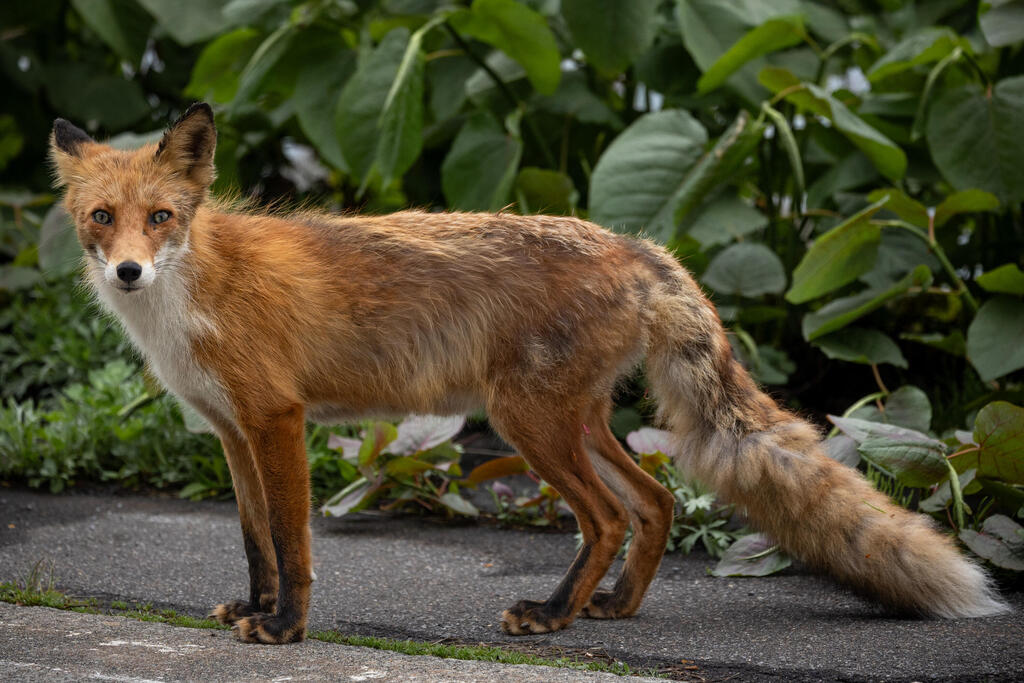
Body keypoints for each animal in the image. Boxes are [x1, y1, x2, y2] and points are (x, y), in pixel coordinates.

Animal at [48, 103, 1008, 644]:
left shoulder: (277, 419)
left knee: (608, 516)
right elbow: (255, 540)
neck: (192, 291)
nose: (127, 272)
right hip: (577, 421)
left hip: (527, 423)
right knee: (655, 502)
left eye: (160, 218)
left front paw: (285, 627)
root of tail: (638, 245)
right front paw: (250, 608)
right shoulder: (231, 430)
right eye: (101, 218)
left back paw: (551, 615)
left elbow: (293, 543)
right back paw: (609, 608)